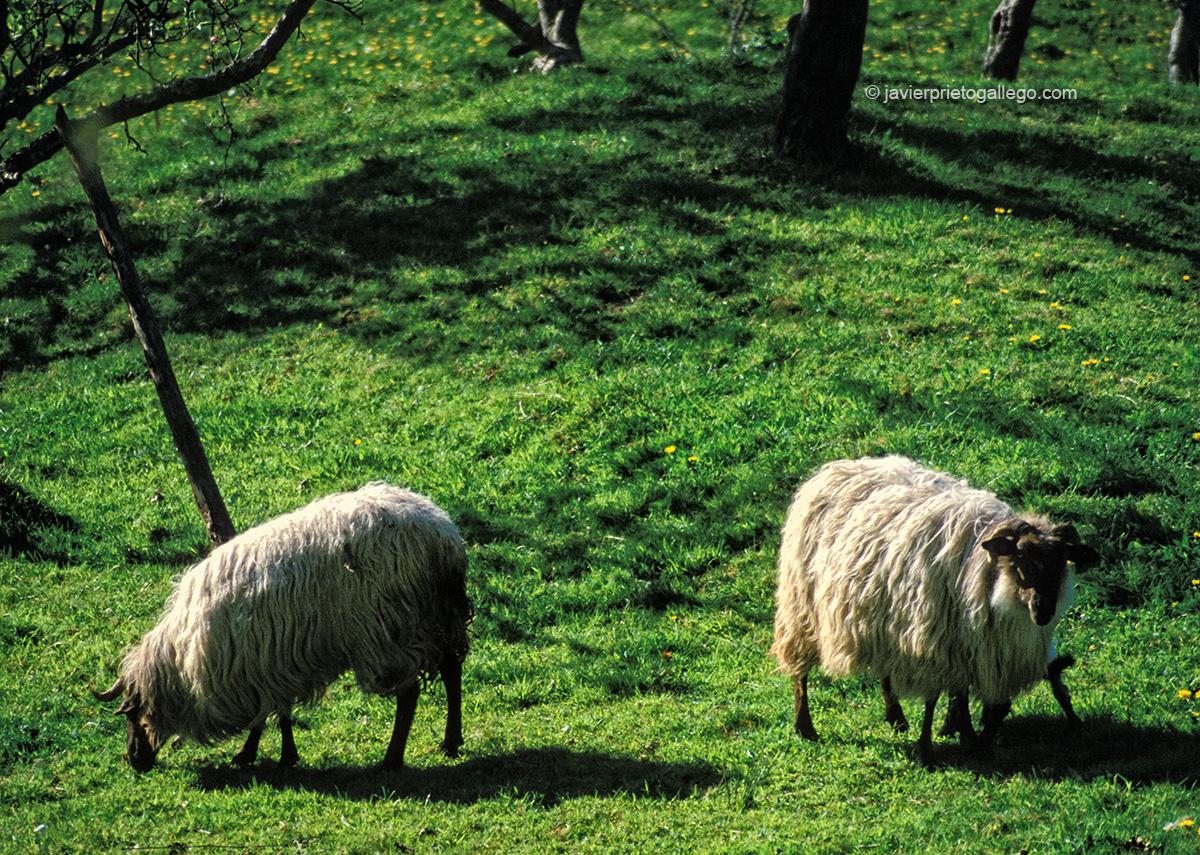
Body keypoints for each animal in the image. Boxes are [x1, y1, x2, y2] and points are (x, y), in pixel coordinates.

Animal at [93, 482, 472, 772]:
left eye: (131, 715)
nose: (133, 761)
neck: (181, 660)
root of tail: (444, 538)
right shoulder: (276, 663)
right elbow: (282, 713)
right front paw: (284, 755)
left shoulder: (251, 669)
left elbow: (264, 716)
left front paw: (249, 754)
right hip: (440, 618)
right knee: (452, 671)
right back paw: (451, 741)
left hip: (392, 631)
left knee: (409, 694)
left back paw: (392, 759)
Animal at [771, 455, 1097, 763]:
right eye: (1021, 559)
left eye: (1062, 564)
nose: (1043, 610)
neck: (987, 574)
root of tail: (835, 467)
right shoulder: (934, 642)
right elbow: (934, 698)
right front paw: (929, 748)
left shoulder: (968, 647)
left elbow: (977, 700)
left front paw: (967, 736)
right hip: (801, 607)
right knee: (800, 671)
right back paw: (805, 726)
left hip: (882, 615)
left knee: (885, 670)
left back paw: (897, 718)